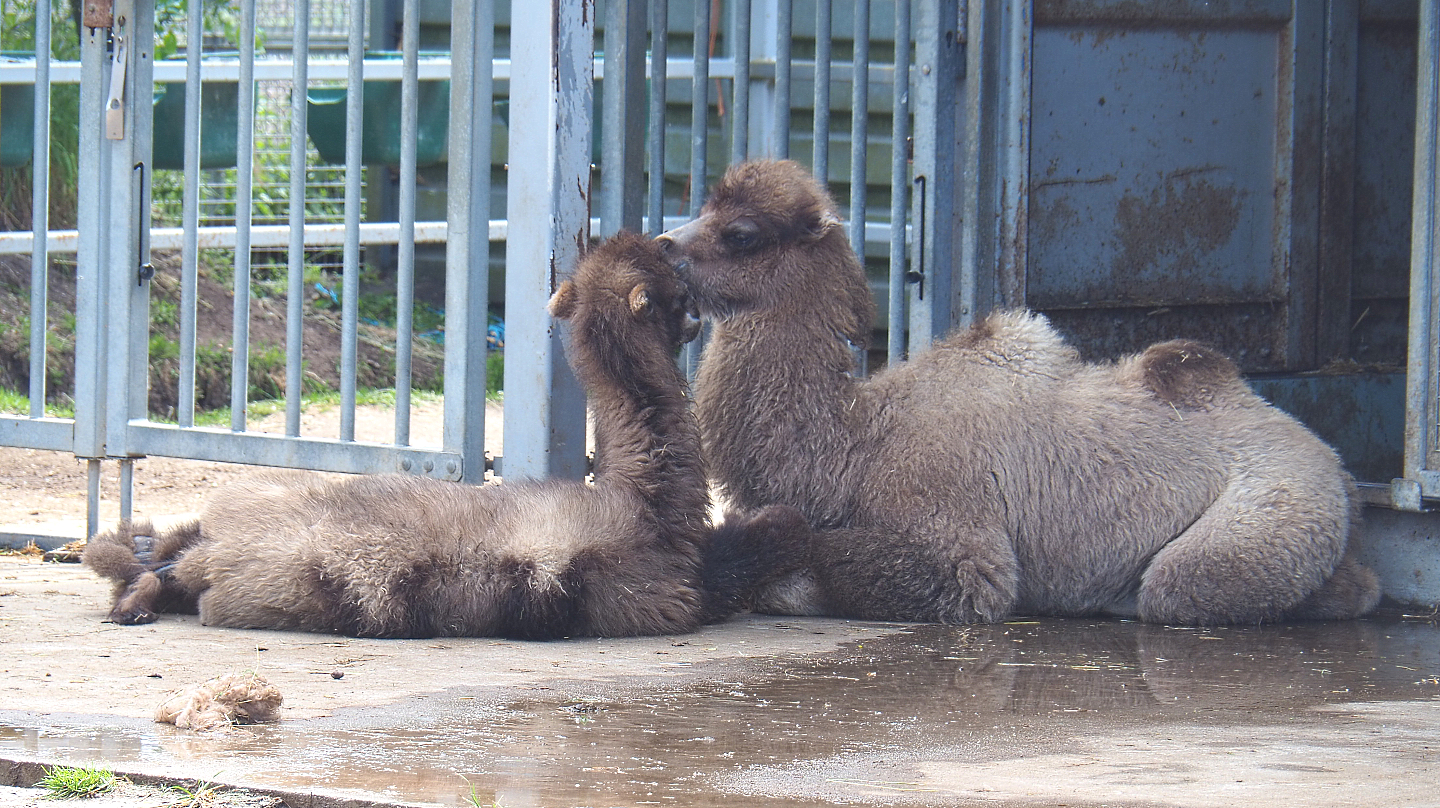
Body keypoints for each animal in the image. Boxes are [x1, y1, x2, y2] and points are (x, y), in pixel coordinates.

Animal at [85, 232, 804, 638]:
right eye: (676, 291)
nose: (697, 304)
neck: (642, 494)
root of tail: (208, 559)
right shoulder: (666, 596)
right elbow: (756, 548)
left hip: (224, 512)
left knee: (151, 547)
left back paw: (137, 571)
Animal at [656, 159, 1381, 626]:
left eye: (741, 234)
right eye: (704, 206)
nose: (662, 243)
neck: (857, 440)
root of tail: (1340, 470)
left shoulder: (957, 535)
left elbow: (844, 559)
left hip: (1273, 512)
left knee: (1184, 582)